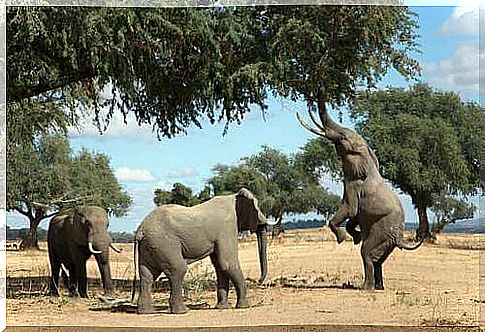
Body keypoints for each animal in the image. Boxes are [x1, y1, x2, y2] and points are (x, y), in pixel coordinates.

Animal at [132, 188, 268, 316]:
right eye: (257, 209)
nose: (258, 281)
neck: (234, 197)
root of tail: (140, 230)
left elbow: (220, 267)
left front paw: (223, 307)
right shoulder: (227, 228)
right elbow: (227, 264)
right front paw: (245, 306)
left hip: (150, 246)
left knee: (148, 275)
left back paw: (146, 312)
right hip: (165, 244)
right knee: (178, 270)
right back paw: (182, 311)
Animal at [296, 89, 422, 290]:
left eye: (342, 139)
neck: (367, 157)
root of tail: (399, 237)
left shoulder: (354, 185)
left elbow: (349, 209)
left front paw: (343, 238)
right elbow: (353, 216)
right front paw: (355, 236)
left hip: (382, 230)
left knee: (367, 253)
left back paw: (365, 287)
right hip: (386, 238)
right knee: (379, 260)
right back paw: (378, 287)